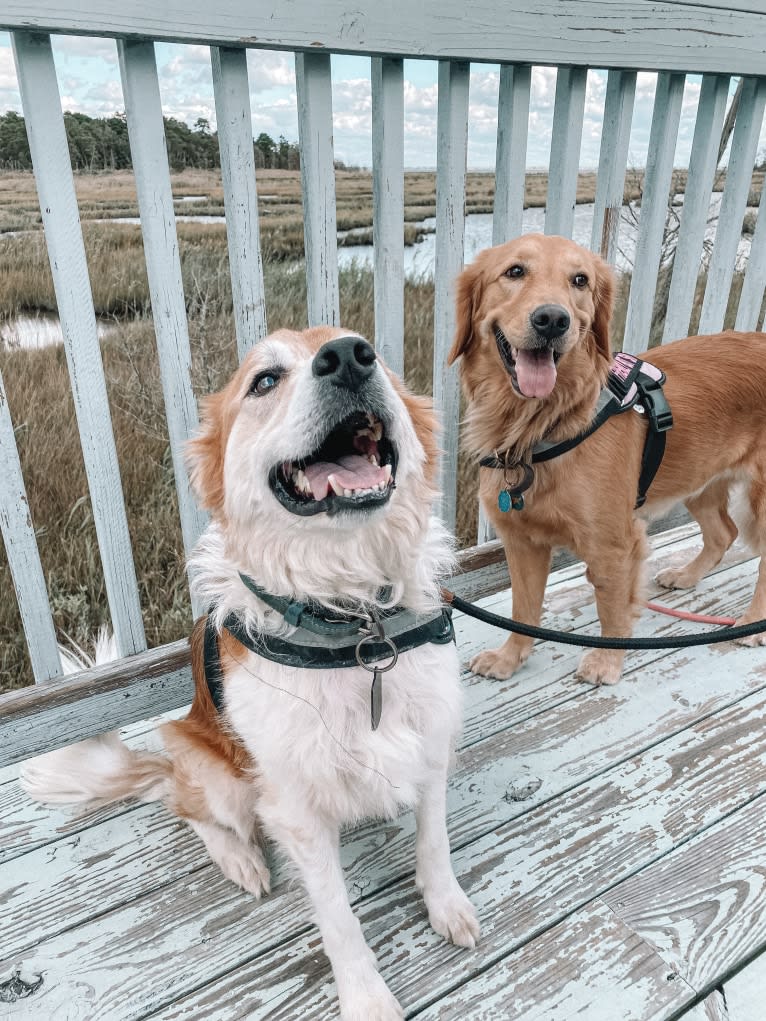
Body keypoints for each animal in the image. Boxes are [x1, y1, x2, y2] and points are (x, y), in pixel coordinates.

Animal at [22, 326, 480, 1021]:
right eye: (265, 380)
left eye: (374, 353)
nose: (349, 358)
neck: (354, 622)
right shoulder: (294, 806)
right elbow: (338, 917)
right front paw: (366, 997)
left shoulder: (429, 745)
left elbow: (434, 843)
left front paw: (446, 904)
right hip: (214, 771)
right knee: (187, 805)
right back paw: (240, 859)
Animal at [449, 233, 766, 686]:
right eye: (515, 271)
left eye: (579, 280)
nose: (553, 320)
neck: (540, 426)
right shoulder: (522, 541)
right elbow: (522, 610)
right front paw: (510, 658)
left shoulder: (614, 544)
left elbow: (611, 608)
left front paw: (606, 661)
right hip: (699, 478)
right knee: (723, 533)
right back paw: (686, 575)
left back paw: (751, 623)